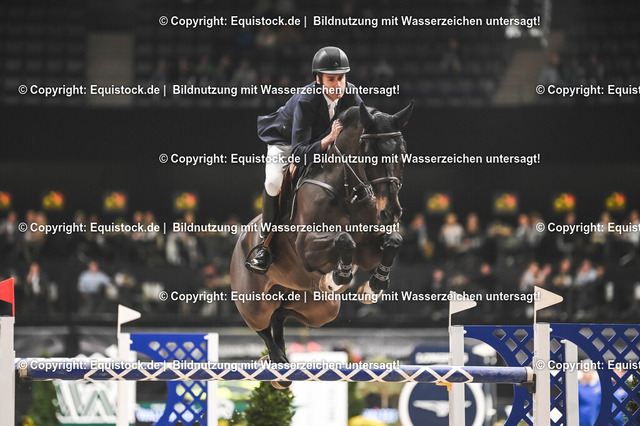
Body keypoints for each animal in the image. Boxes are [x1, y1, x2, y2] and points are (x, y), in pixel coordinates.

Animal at [230, 102, 413, 386]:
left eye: (402, 152)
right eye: (370, 154)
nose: (391, 213)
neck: (348, 189)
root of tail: (240, 239)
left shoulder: (369, 248)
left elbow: (393, 241)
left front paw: (372, 287)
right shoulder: (307, 246)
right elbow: (343, 239)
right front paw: (338, 277)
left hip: (320, 308)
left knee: (280, 314)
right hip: (253, 302)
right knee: (262, 324)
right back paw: (276, 364)